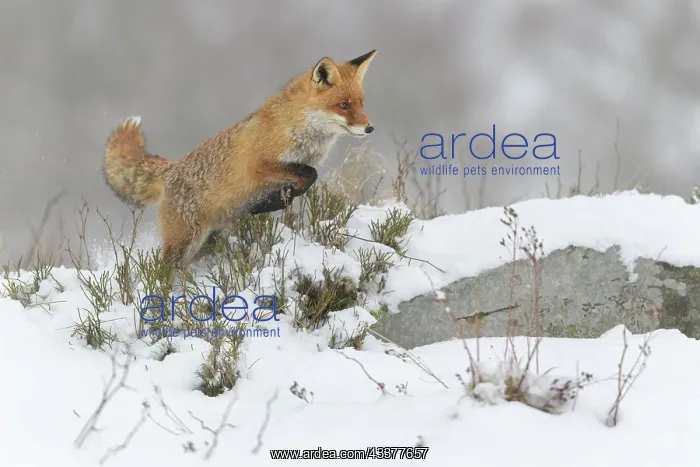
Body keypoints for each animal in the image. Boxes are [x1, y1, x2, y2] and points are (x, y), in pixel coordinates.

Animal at [103, 49, 377, 282]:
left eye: (362, 103)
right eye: (343, 105)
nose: (370, 128)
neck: (297, 127)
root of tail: (173, 168)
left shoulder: (291, 167)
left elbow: (303, 182)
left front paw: (270, 202)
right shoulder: (261, 165)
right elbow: (310, 175)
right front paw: (270, 202)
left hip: (206, 242)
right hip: (185, 242)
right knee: (161, 271)